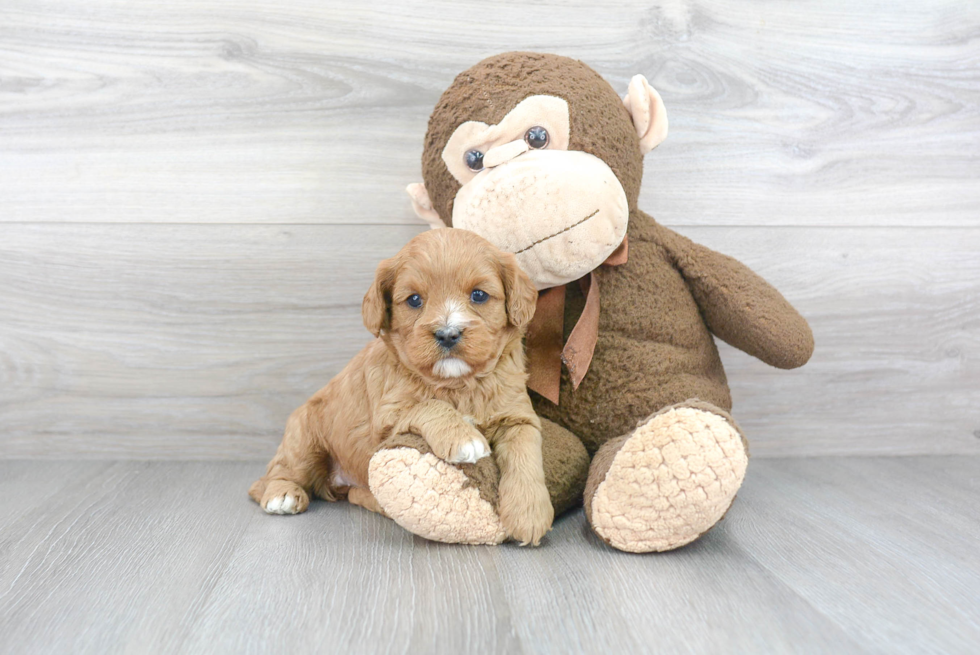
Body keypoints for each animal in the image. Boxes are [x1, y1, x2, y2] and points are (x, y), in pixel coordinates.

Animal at [245, 228, 556, 544]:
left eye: (479, 295)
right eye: (414, 300)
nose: (447, 334)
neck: (458, 384)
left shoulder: (518, 416)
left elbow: (525, 454)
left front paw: (529, 514)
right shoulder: (385, 418)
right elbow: (430, 404)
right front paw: (463, 437)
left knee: (354, 494)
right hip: (303, 437)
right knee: (273, 476)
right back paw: (282, 495)